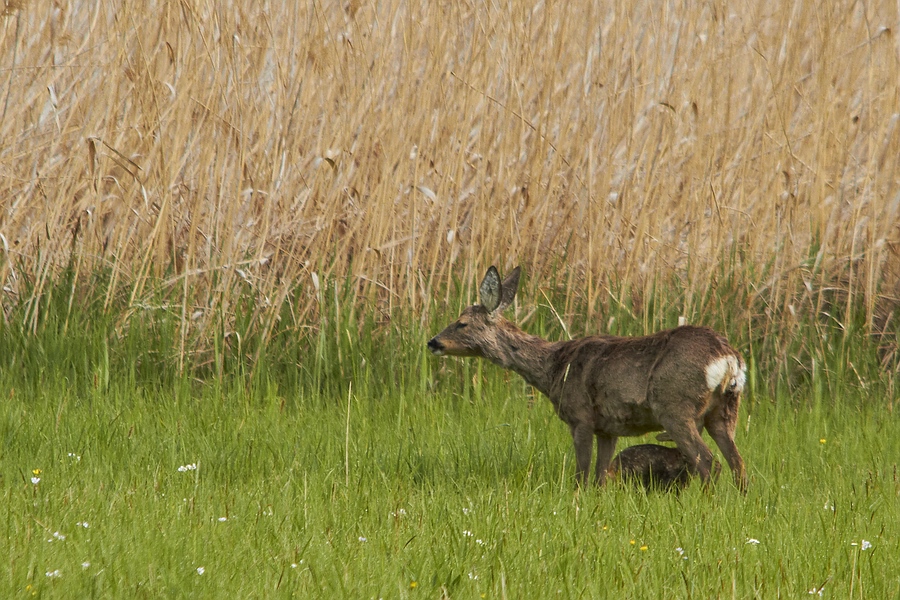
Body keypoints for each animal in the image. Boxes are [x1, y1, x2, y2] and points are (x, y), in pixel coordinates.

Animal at [426, 264, 748, 490]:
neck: (554, 368)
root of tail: (729, 358)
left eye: (461, 323)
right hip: (724, 410)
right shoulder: (608, 428)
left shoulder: (580, 416)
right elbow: (601, 476)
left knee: (709, 462)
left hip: (675, 407)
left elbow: (582, 473)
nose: (433, 342)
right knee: (737, 462)